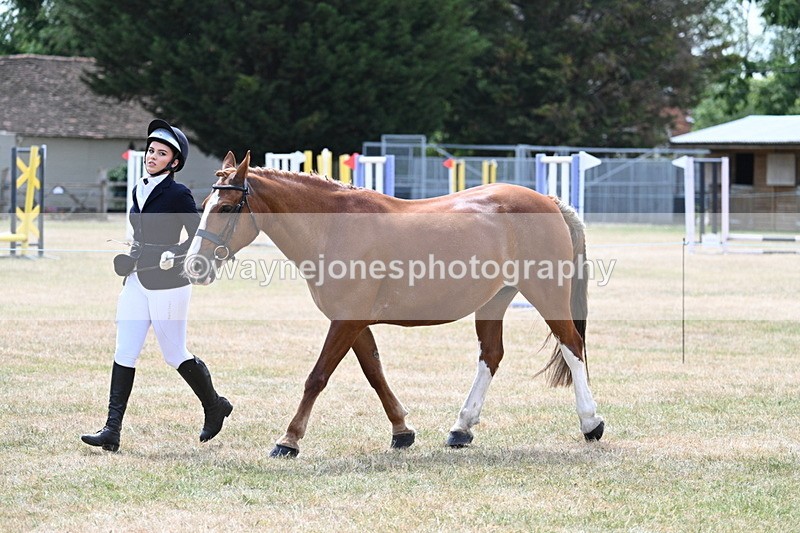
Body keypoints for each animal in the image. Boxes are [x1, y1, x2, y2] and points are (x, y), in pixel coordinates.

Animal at [186, 151, 604, 457]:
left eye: (226, 208)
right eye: (204, 203)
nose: (194, 265)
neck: (333, 226)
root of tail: (547, 200)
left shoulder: (346, 321)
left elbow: (317, 377)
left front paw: (288, 440)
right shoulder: (352, 323)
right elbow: (375, 373)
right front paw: (402, 431)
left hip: (546, 293)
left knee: (572, 346)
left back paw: (591, 423)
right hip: (494, 301)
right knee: (492, 355)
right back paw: (461, 429)